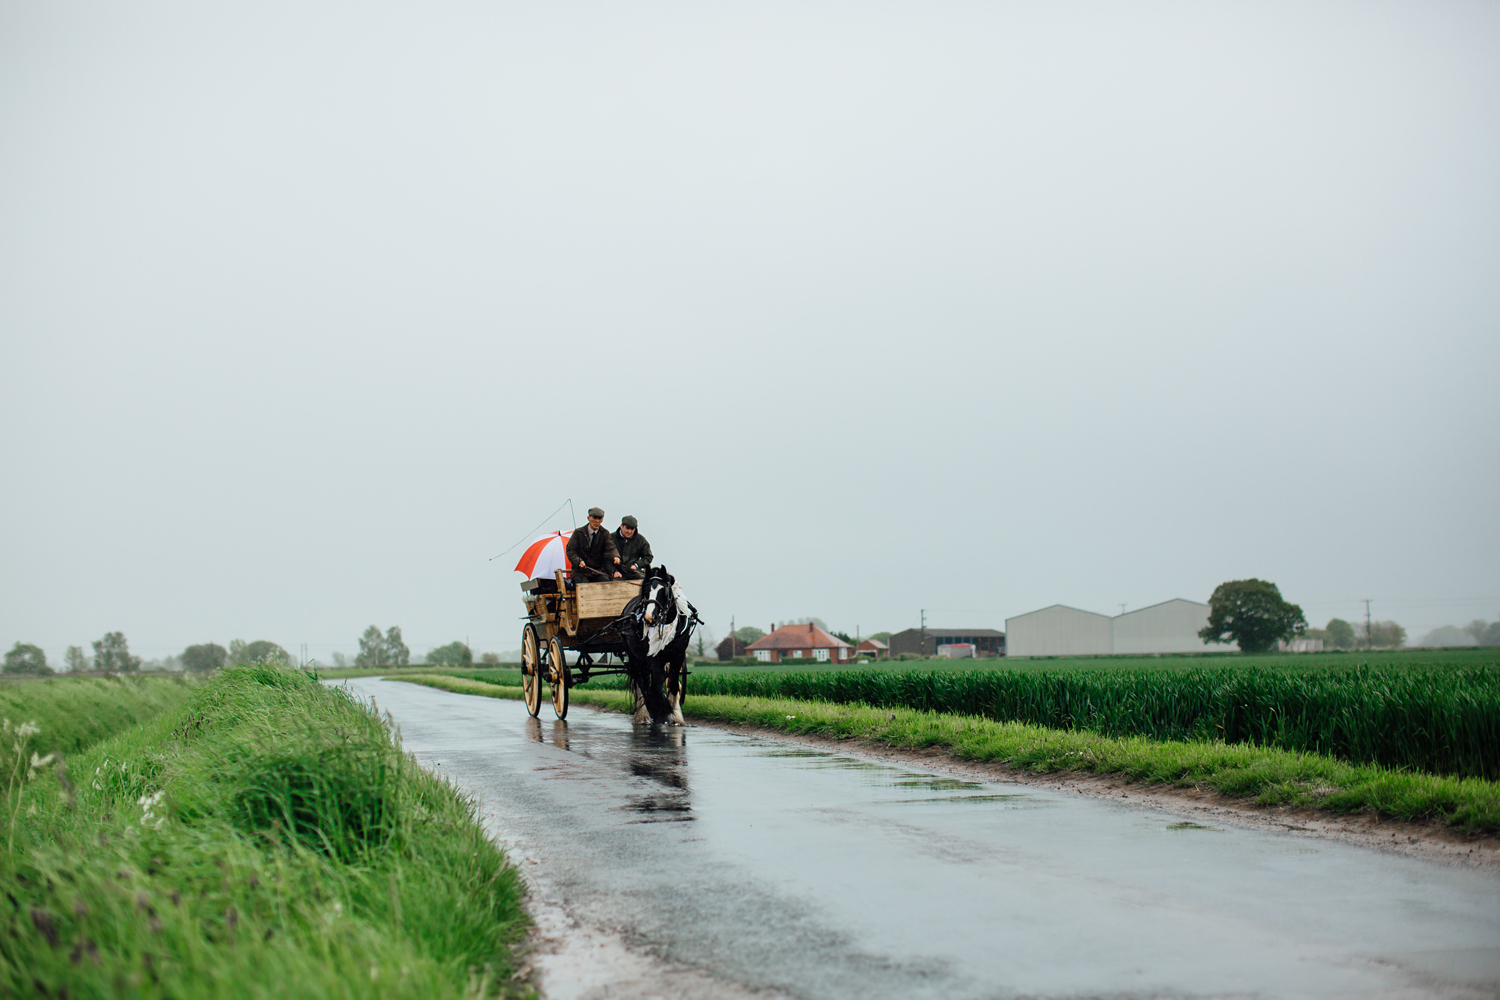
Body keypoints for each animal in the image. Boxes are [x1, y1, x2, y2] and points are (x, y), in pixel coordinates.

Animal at [618, 566, 699, 722]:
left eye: (664, 591)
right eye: (645, 589)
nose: (649, 617)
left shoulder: (678, 656)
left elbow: (672, 682)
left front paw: (675, 716)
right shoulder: (651, 656)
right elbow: (657, 679)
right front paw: (662, 709)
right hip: (634, 657)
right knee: (640, 680)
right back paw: (643, 715)